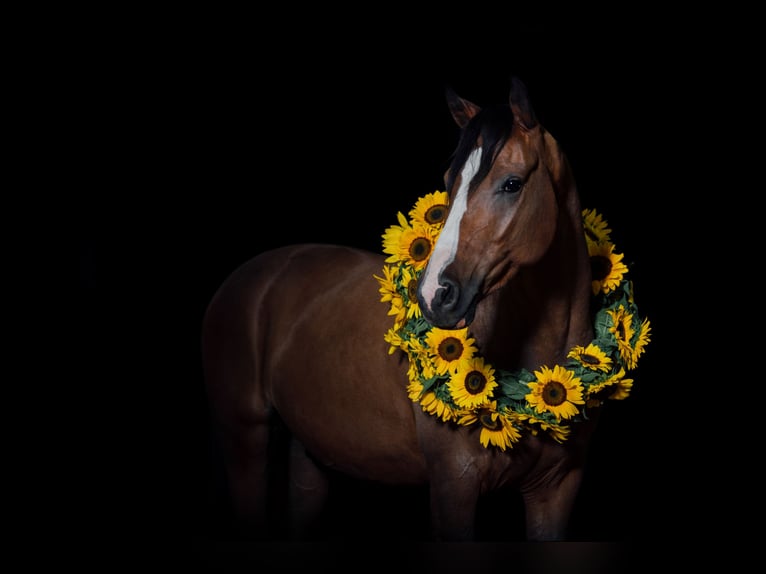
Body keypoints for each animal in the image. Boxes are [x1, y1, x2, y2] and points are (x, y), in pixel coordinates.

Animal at [201, 77, 652, 544]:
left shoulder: (556, 490)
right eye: (450, 181)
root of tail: (251, 276)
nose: (436, 293)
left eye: (512, 184)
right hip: (245, 438)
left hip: (309, 453)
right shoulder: (454, 485)